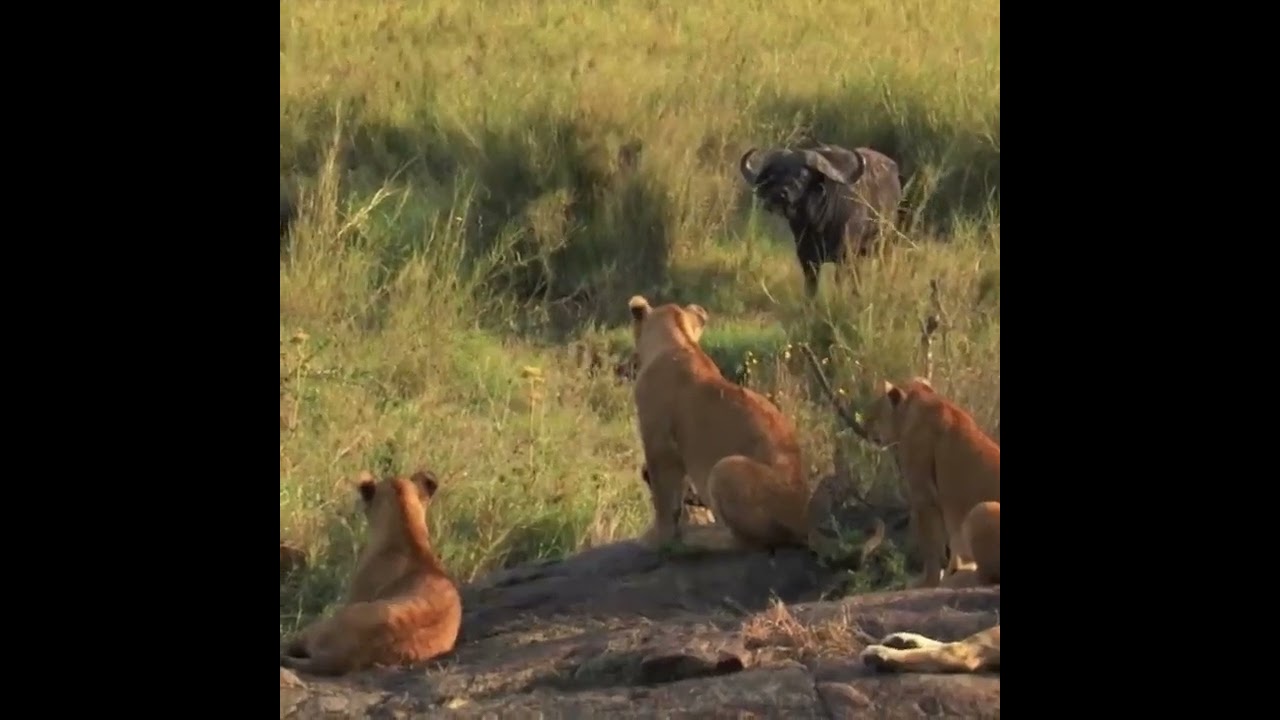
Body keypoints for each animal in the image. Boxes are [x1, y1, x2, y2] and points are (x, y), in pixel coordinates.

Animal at [627, 295, 811, 552]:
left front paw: (655, 538)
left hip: (725, 468)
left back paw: (699, 539)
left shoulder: (659, 445)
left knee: (747, 542)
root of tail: (805, 519)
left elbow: (663, 499)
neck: (678, 340)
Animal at [861, 377, 999, 589]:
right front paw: (951, 569)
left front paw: (927, 582)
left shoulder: (923, 496)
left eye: (873, 416)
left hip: (981, 510)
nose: (865, 430)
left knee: (985, 577)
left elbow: (931, 546)